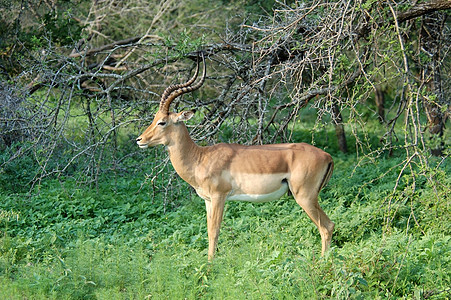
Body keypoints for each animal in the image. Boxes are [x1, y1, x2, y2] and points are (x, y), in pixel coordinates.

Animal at [138, 53, 336, 260]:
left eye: (162, 122)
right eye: (154, 118)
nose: (139, 139)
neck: (200, 158)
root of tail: (327, 156)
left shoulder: (219, 196)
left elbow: (214, 231)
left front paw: (210, 264)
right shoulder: (208, 200)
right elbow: (208, 230)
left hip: (305, 197)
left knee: (327, 226)